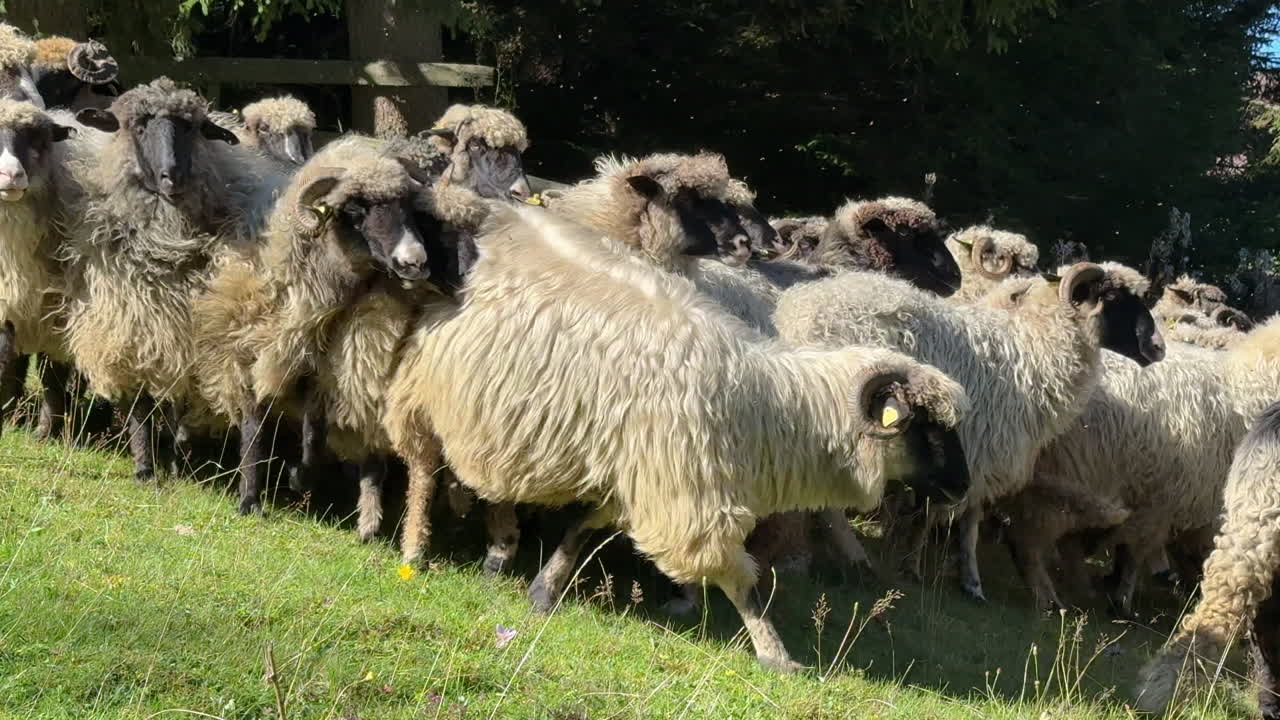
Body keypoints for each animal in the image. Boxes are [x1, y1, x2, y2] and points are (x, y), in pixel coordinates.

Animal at [61, 77, 283, 481]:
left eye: (191, 128)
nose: (172, 176)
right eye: (137, 126)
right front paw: (145, 468)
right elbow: (138, 403)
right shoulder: (136, 324)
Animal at [383, 202, 971, 671]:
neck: (766, 407)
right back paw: (418, 549)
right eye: (927, 427)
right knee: (423, 469)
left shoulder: (639, 470)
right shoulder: (686, 494)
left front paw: (545, 589)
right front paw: (775, 655)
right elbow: (740, 582)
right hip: (422, 394)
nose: (963, 487)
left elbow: (585, 526)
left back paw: (499, 548)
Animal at [772, 261, 1165, 601]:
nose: (1158, 348)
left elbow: (962, 519)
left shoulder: (975, 457)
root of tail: (797, 311)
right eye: (1112, 297)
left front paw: (960, 577)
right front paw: (926, 569)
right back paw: (854, 556)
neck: (1036, 351)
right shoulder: (977, 449)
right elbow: (945, 517)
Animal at [1002, 317, 1280, 615]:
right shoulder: (1159, 504)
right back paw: (1048, 599)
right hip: (1053, 488)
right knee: (1026, 543)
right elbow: (1134, 555)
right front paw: (1122, 601)